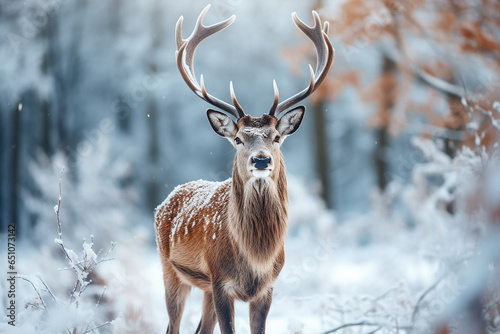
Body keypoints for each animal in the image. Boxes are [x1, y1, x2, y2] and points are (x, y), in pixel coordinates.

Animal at [155, 5, 336, 334]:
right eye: (238, 139)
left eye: (276, 137)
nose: (261, 160)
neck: (256, 259)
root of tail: (165, 201)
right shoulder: (220, 282)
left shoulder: (267, 288)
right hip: (170, 269)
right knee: (172, 325)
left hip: (202, 287)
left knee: (200, 329)